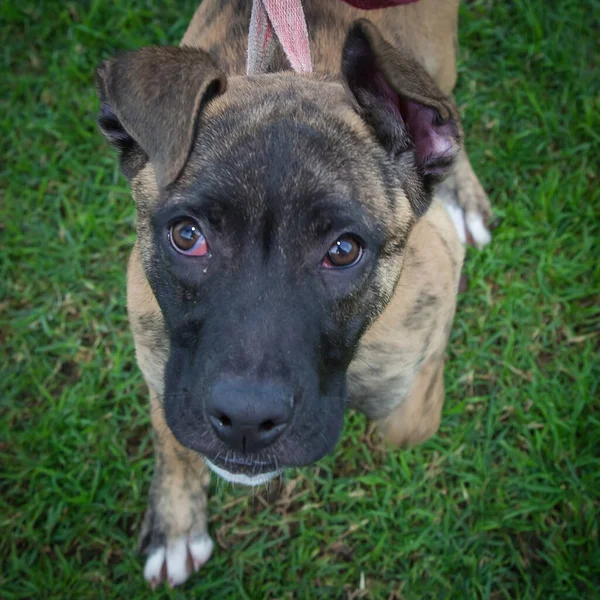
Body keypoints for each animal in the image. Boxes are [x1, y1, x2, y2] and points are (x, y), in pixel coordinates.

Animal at [96, 0, 492, 584]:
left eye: (343, 250)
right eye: (187, 236)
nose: (245, 419)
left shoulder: (424, 314)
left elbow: (409, 416)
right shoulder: (160, 359)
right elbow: (173, 435)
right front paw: (175, 524)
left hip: (436, 54)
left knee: (444, 114)